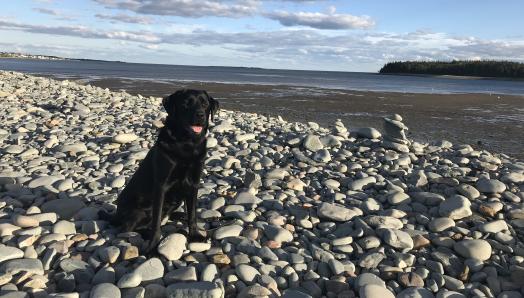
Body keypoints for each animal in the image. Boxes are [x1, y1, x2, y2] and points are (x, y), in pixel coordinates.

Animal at [101, 88, 218, 251]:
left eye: (205, 104)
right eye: (186, 103)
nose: (200, 115)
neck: (187, 143)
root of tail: (116, 214)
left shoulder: (193, 184)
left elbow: (193, 214)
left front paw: (194, 234)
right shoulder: (161, 186)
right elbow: (156, 223)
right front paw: (153, 245)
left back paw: (180, 216)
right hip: (139, 210)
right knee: (127, 228)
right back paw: (145, 232)